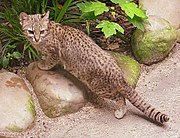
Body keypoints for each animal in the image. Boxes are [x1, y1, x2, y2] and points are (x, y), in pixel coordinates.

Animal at [20, 11, 170, 124]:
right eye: (31, 31)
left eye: (41, 31)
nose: (36, 39)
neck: (49, 30)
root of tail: (117, 73)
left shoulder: (54, 53)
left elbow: (50, 62)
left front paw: (42, 65)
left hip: (99, 87)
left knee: (120, 97)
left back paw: (120, 112)